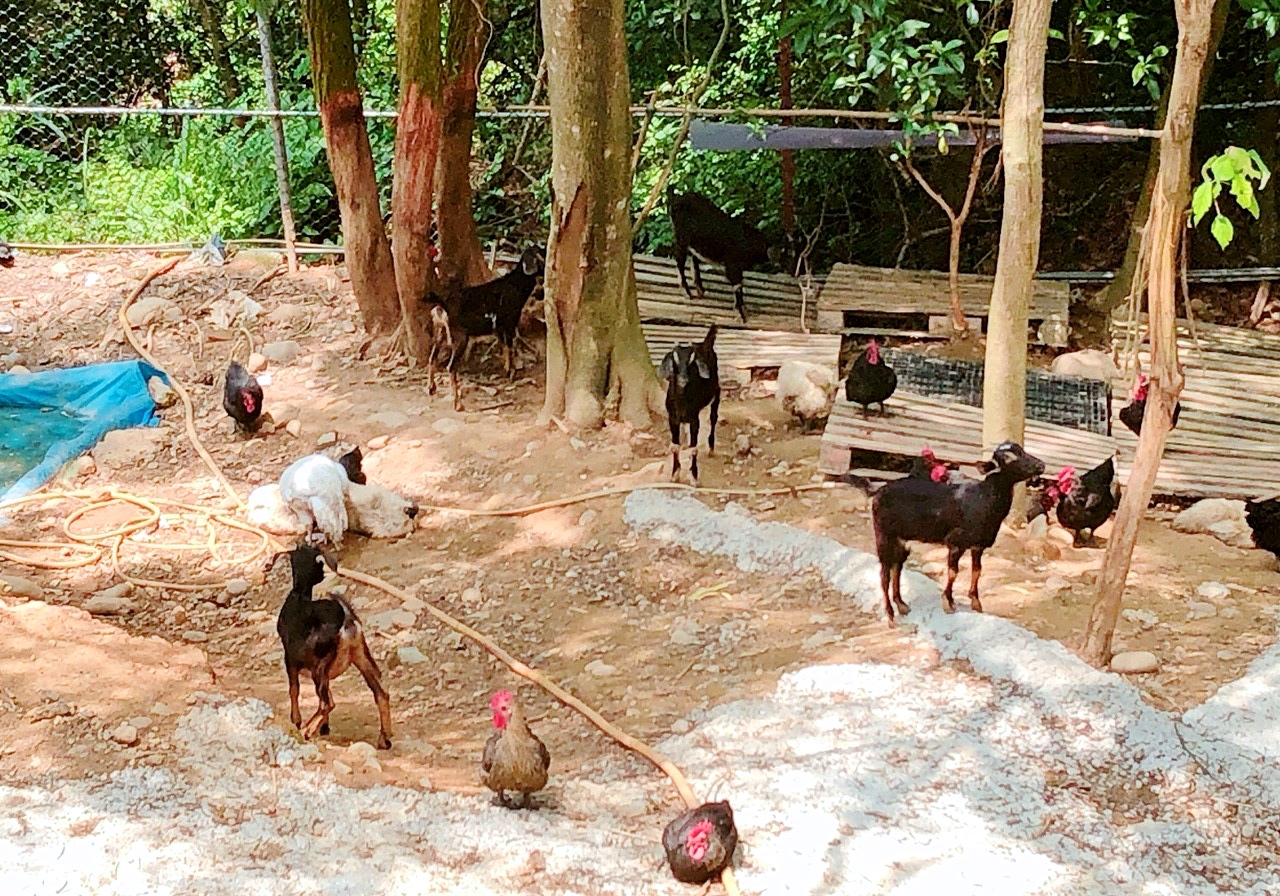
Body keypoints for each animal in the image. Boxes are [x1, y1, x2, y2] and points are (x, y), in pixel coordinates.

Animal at [279, 545, 394, 747]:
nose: (322, 574)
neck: (299, 595)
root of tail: (346, 620)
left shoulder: (290, 660)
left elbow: (294, 690)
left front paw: (296, 720)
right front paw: (324, 727)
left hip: (320, 667)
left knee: (327, 703)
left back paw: (306, 730)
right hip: (360, 656)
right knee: (381, 693)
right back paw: (384, 738)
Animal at [419, 247, 540, 412]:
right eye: (542, 253)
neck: (515, 285)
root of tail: (441, 306)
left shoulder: (498, 327)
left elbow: (503, 346)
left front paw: (506, 368)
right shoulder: (509, 322)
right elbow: (510, 346)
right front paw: (512, 371)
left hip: (440, 332)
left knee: (432, 358)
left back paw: (431, 388)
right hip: (460, 337)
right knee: (450, 367)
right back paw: (457, 404)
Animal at [660, 325, 721, 486]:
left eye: (691, 363)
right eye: (674, 361)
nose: (683, 381)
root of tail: (705, 343)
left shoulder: (694, 419)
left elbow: (694, 448)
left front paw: (694, 476)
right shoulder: (672, 418)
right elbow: (675, 447)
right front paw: (675, 474)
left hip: (717, 392)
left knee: (713, 417)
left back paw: (711, 448)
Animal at [670, 185, 768, 322]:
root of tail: (676, 198)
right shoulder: (732, 264)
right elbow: (737, 286)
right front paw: (741, 314)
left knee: (693, 258)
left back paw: (700, 289)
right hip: (681, 239)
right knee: (680, 261)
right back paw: (687, 292)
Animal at [870, 440, 1049, 622]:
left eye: (1021, 450)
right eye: (1008, 458)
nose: (1041, 465)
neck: (983, 499)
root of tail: (878, 492)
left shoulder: (978, 545)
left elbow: (977, 571)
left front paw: (975, 602)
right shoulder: (955, 542)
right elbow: (953, 572)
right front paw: (948, 602)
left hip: (902, 540)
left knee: (896, 568)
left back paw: (901, 605)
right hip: (883, 535)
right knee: (884, 574)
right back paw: (890, 613)